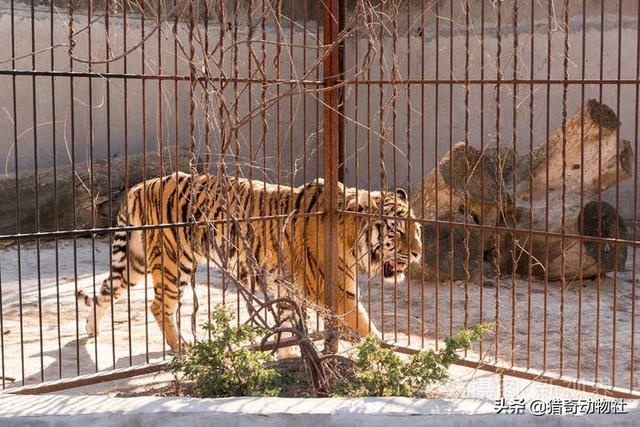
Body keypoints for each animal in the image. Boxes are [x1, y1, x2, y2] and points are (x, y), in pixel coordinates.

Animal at [77, 172, 422, 350]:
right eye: (398, 231)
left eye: (417, 229)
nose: (418, 253)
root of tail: (138, 186)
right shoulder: (336, 291)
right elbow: (367, 327)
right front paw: (388, 356)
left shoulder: (289, 287)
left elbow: (290, 324)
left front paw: (288, 352)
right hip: (175, 261)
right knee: (159, 305)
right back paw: (181, 346)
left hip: (134, 262)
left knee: (107, 290)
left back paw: (91, 329)